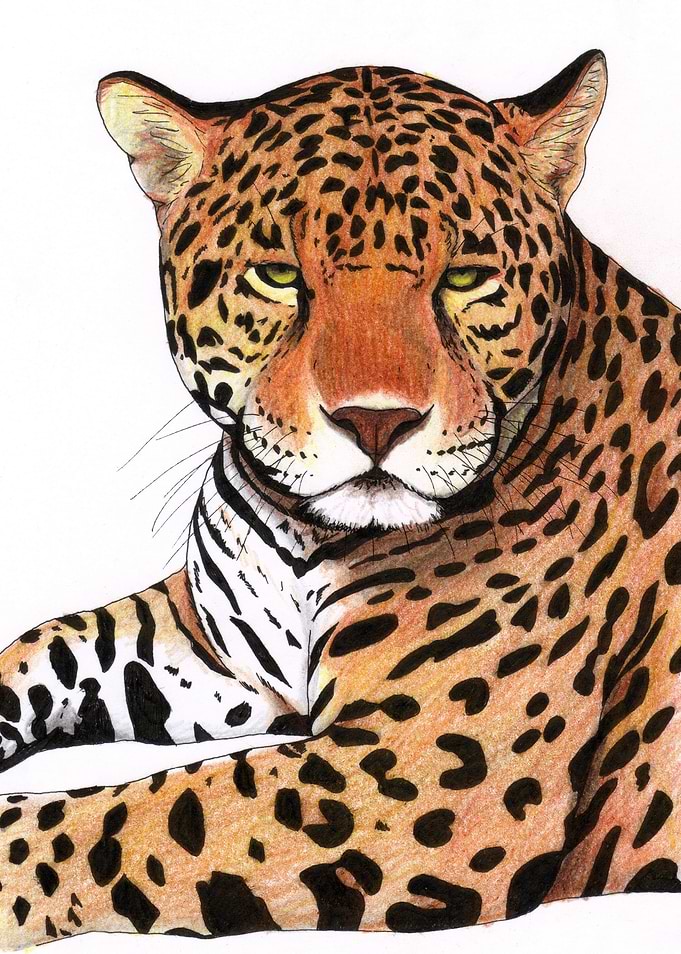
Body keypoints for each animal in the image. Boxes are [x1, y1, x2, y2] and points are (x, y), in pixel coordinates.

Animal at [1, 49, 680, 947]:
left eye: (466, 278)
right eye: (278, 276)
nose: (376, 420)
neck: (300, 536)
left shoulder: (410, 783)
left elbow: (133, 820)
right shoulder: (219, 653)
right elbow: (56, 644)